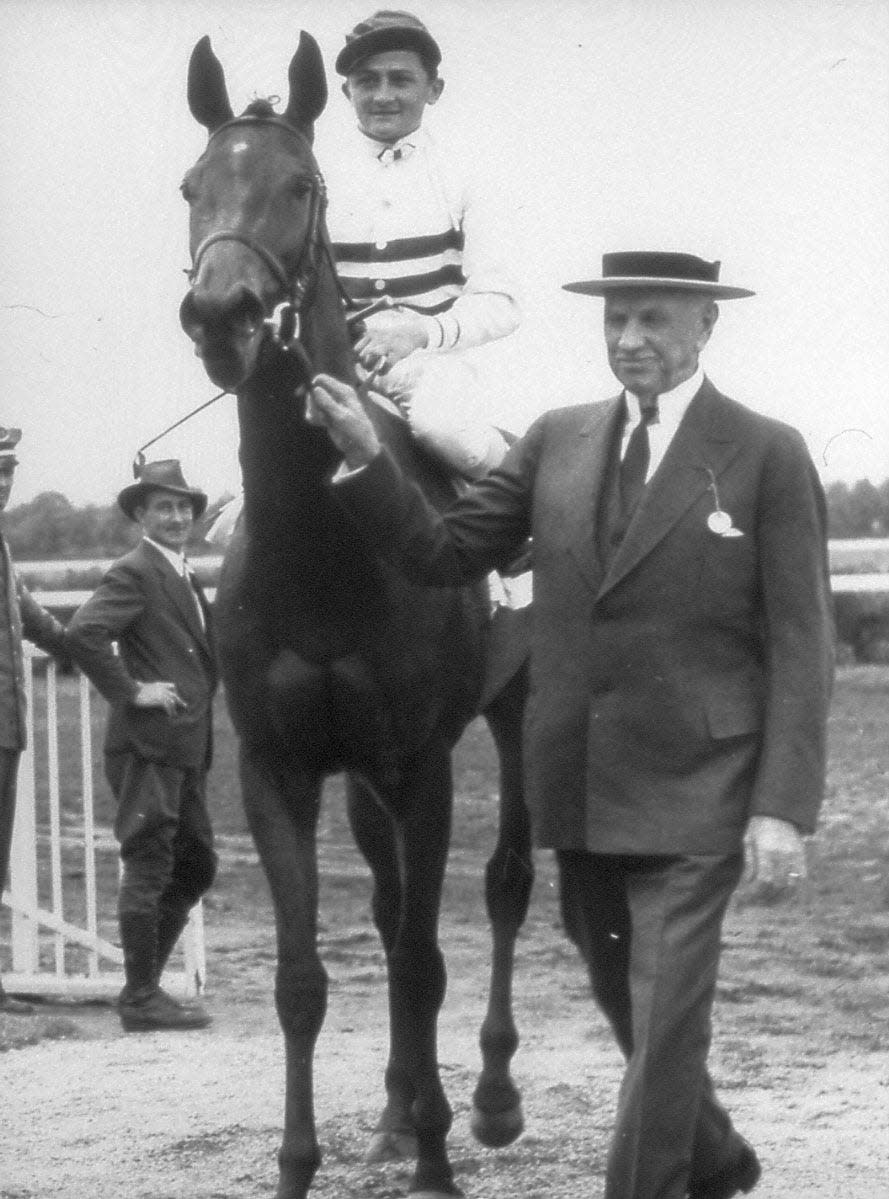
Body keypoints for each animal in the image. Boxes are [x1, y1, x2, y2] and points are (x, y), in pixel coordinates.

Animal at [176, 30, 530, 1199]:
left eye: (300, 184)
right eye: (192, 186)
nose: (222, 313)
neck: (327, 548)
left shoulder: (423, 763)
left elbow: (422, 961)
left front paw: (438, 1159)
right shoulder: (277, 769)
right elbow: (304, 976)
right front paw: (305, 1162)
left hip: (514, 717)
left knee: (504, 885)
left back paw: (488, 1098)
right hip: (365, 778)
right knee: (383, 907)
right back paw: (393, 1111)